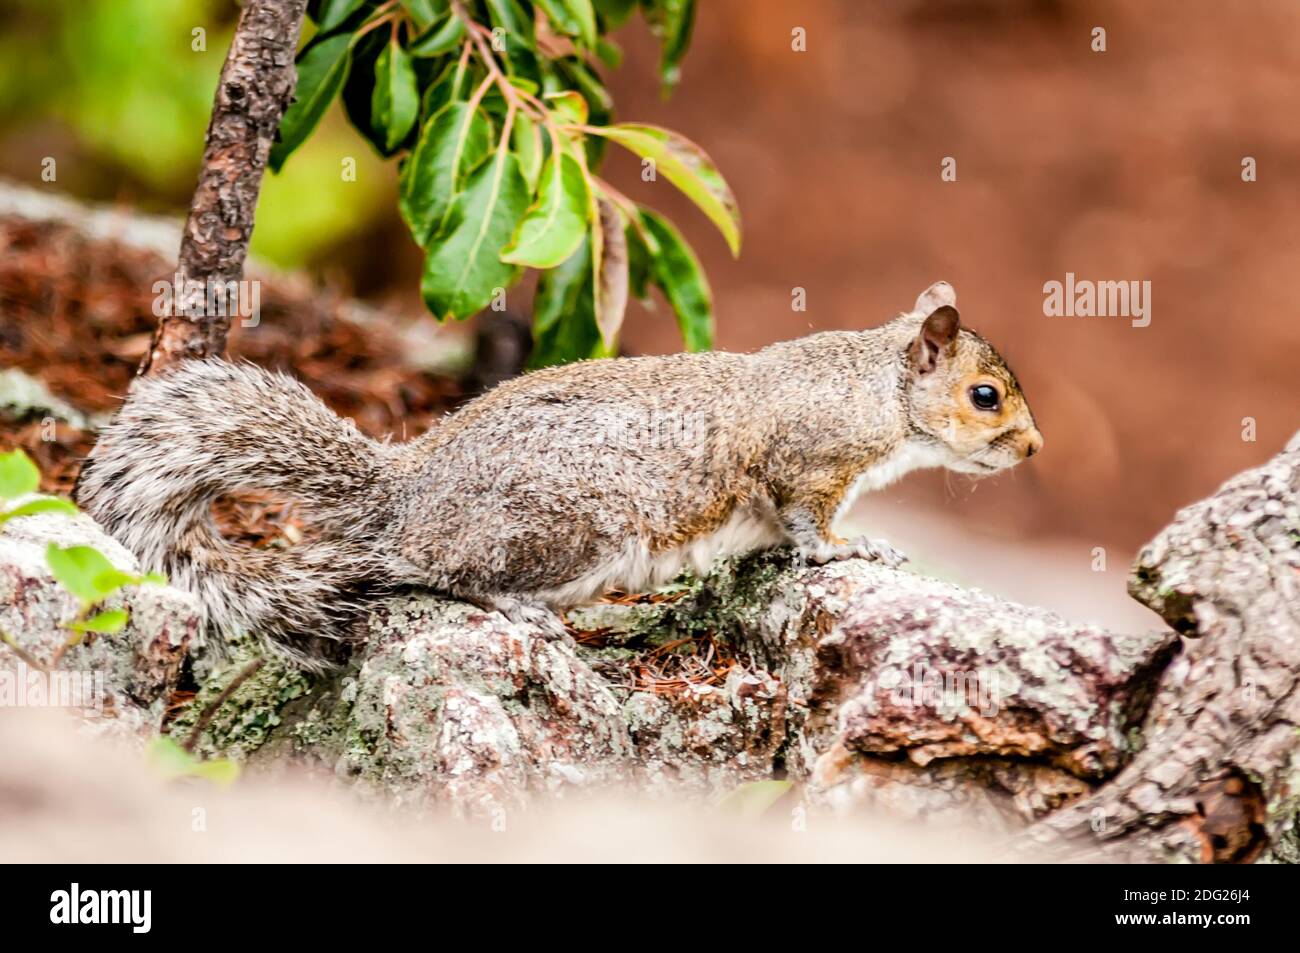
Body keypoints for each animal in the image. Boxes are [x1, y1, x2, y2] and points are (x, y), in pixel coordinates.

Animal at [76, 282, 1040, 670]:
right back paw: (520, 608)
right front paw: (858, 550)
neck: (872, 383)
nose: (1033, 450)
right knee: (446, 571)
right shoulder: (803, 461)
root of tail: (405, 492)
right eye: (986, 395)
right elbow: (812, 526)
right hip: (562, 524)